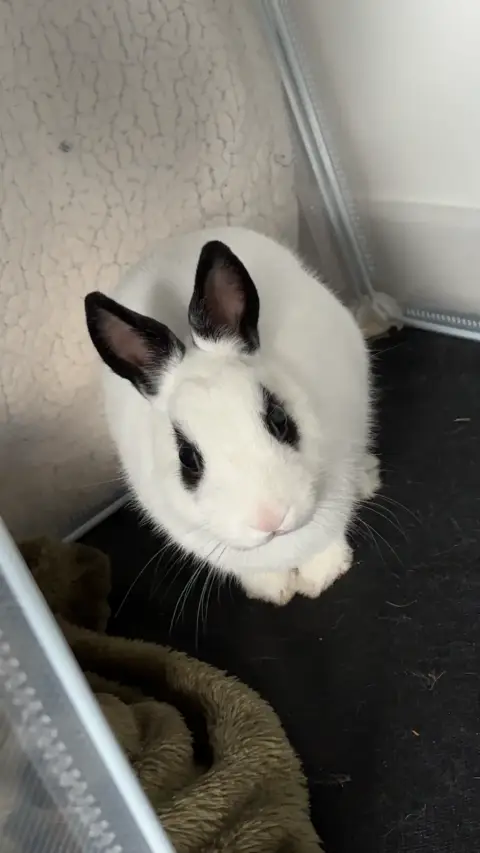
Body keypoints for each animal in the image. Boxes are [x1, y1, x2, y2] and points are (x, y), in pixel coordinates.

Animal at [85, 227, 379, 605]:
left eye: (279, 419)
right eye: (187, 458)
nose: (270, 518)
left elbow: (325, 536)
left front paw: (321, 577)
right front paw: (272, 591)